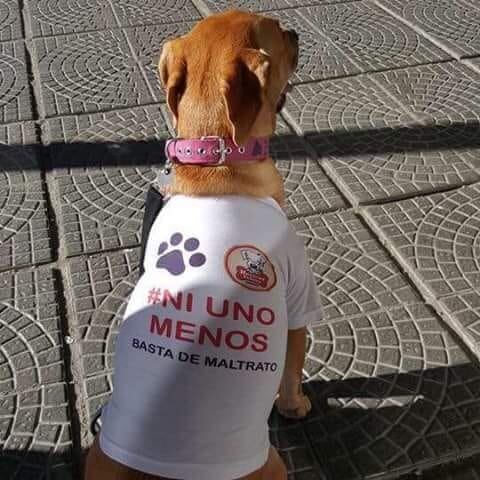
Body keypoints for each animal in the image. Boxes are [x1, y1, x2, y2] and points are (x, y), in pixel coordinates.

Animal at [85, 8, 322, 480]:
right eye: (279, 36)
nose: (295, 31)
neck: (216, 158)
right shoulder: (297, 297)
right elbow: (292, 367)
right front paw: (295, 404)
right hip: (273, 464)